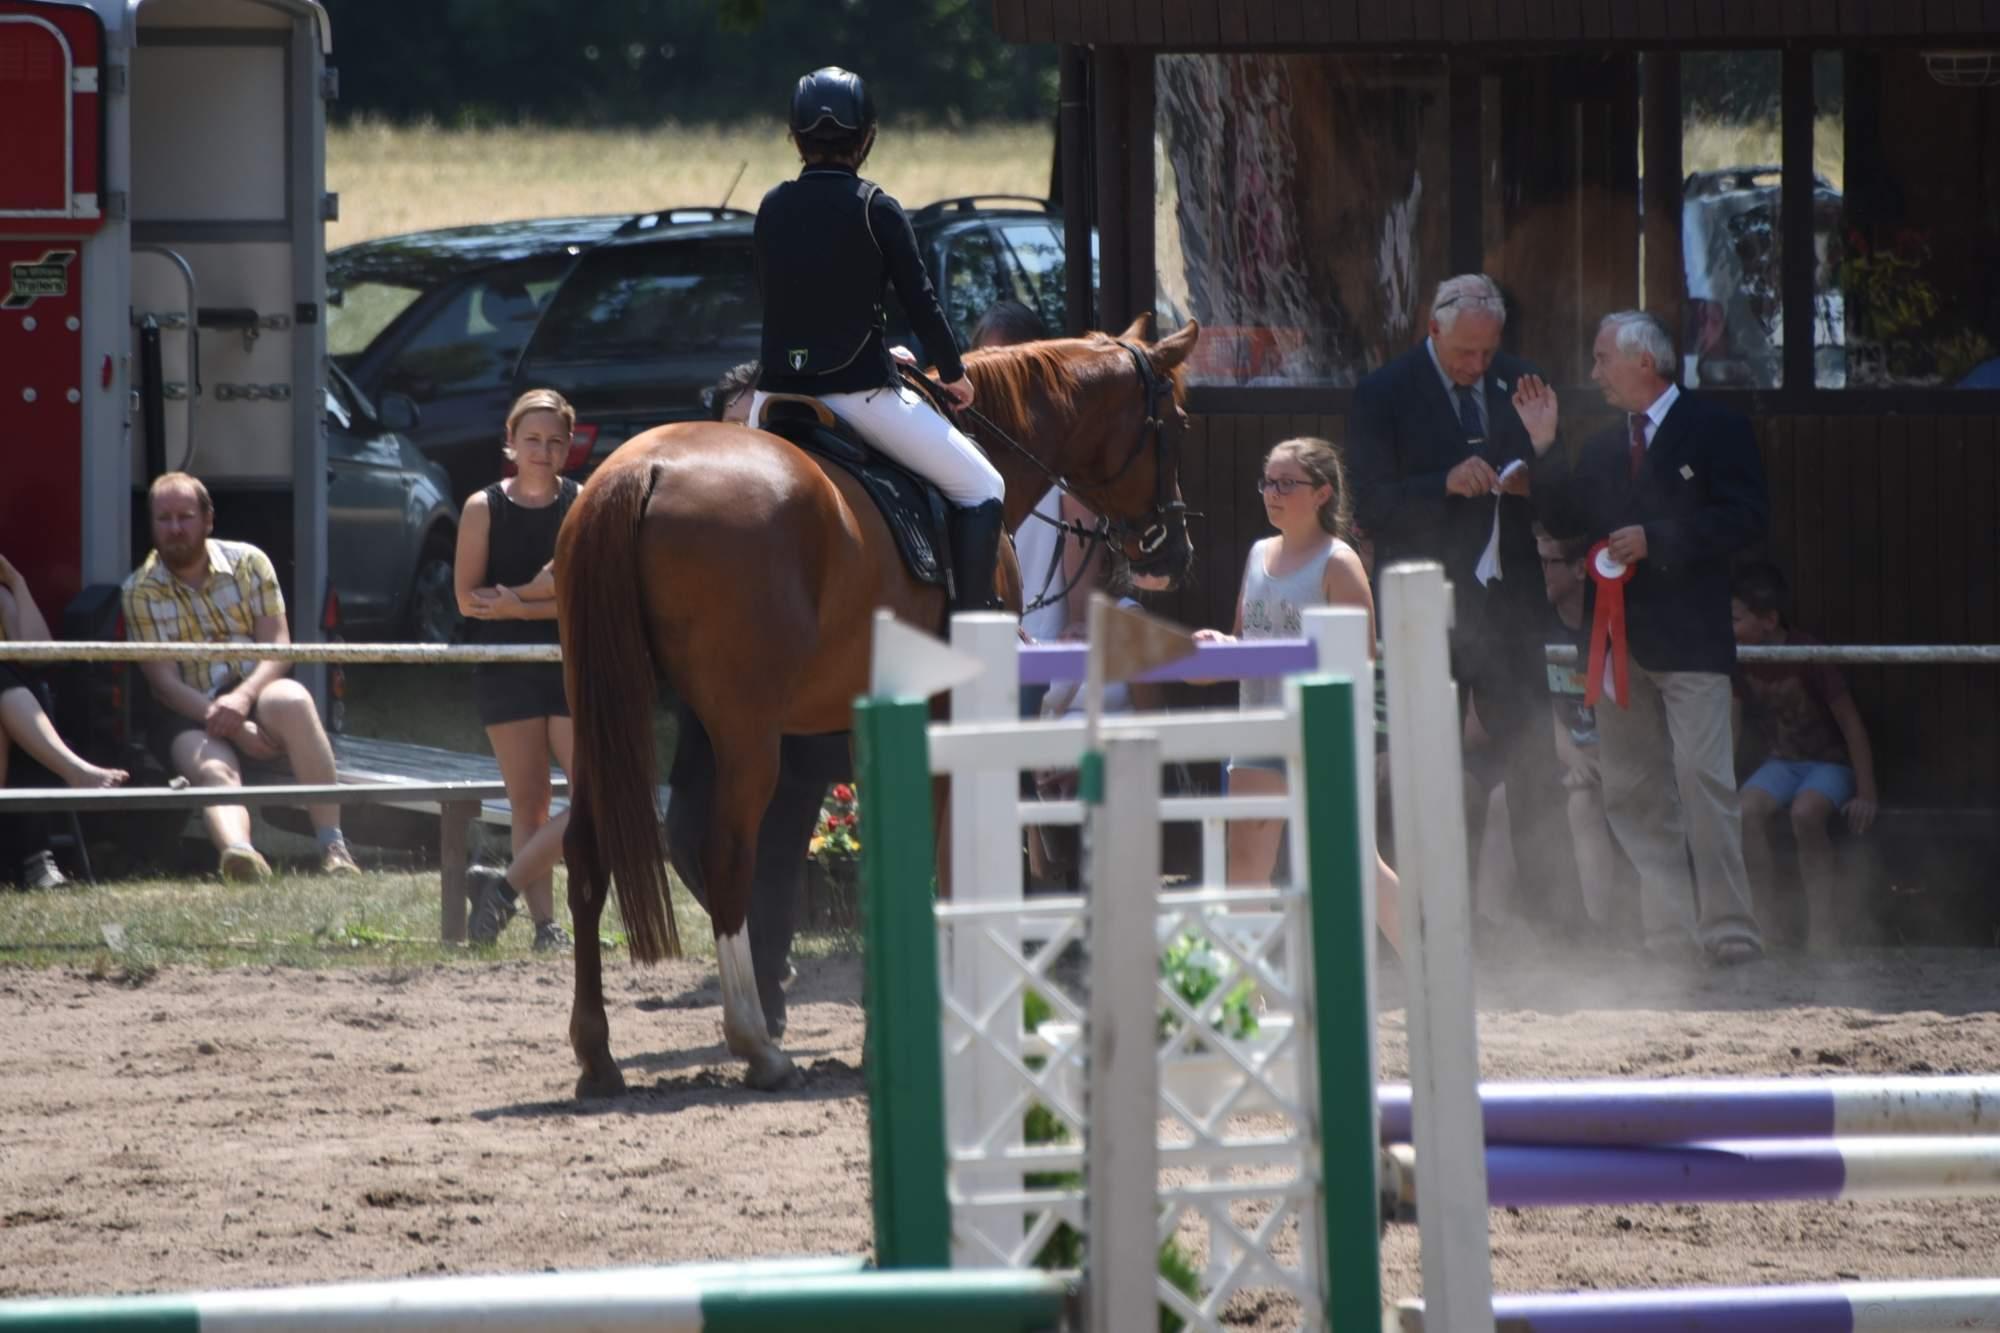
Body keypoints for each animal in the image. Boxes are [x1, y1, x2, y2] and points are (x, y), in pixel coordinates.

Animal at [553, 317, 1200, 1095]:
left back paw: (598, 1054)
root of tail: (639, 470)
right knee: (727, 855)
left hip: (607, 713)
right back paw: (757, 1045)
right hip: (745, 734)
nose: (1172, 550)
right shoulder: (943, 712)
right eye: (1178, 422)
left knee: (587, 857)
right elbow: (937, 860)